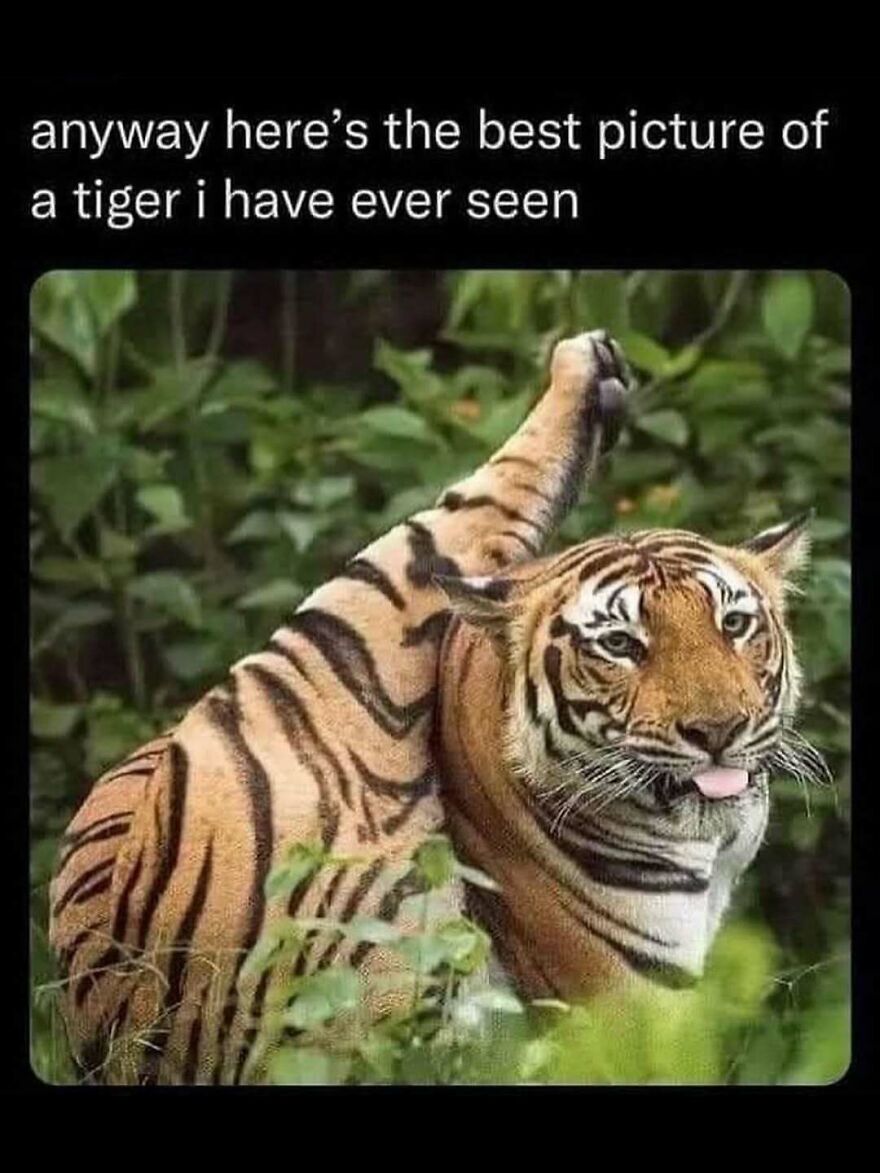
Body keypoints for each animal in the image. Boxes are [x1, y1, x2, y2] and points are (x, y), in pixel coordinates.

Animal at [47, 328, 822, 1084]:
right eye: (621, 643)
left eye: (734, 624)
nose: (719, 730)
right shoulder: (624, 1015)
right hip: (351, 635)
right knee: (448, 523)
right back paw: (583, 363)